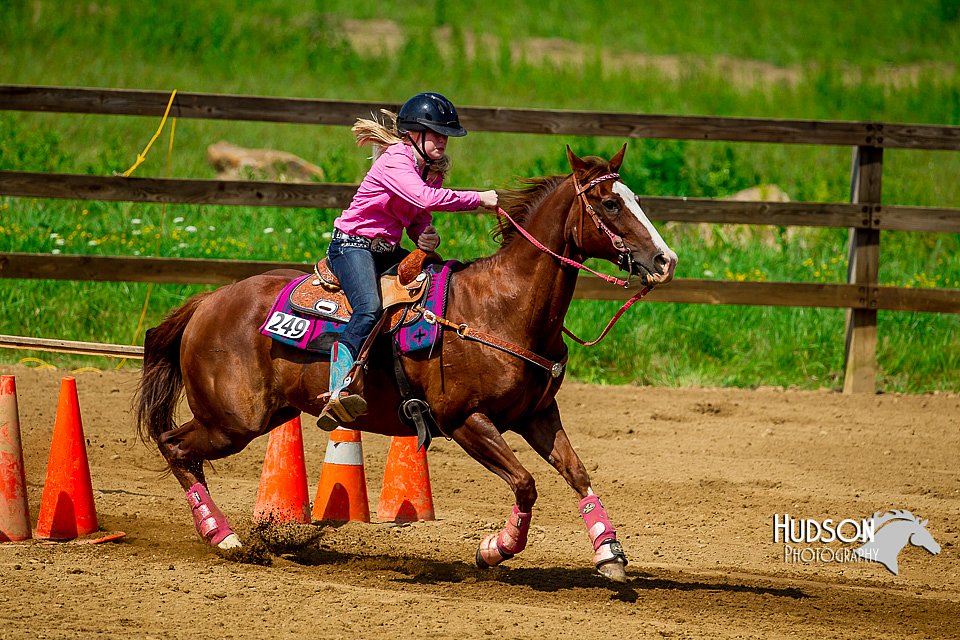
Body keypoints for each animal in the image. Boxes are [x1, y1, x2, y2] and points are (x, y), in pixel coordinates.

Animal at [133, 144, 676, 580]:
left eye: (634, 198)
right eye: (610, 203)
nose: (666, 261)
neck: (501, 307)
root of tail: (208, 301)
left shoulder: (537, 415)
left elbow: (577, 473)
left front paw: (609, 554)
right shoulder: (465, 420)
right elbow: (525, 483)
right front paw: (494, 549)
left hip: (263, 414)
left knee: (180, 449)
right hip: (231, 421)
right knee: (175, 446)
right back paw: (223, 537)